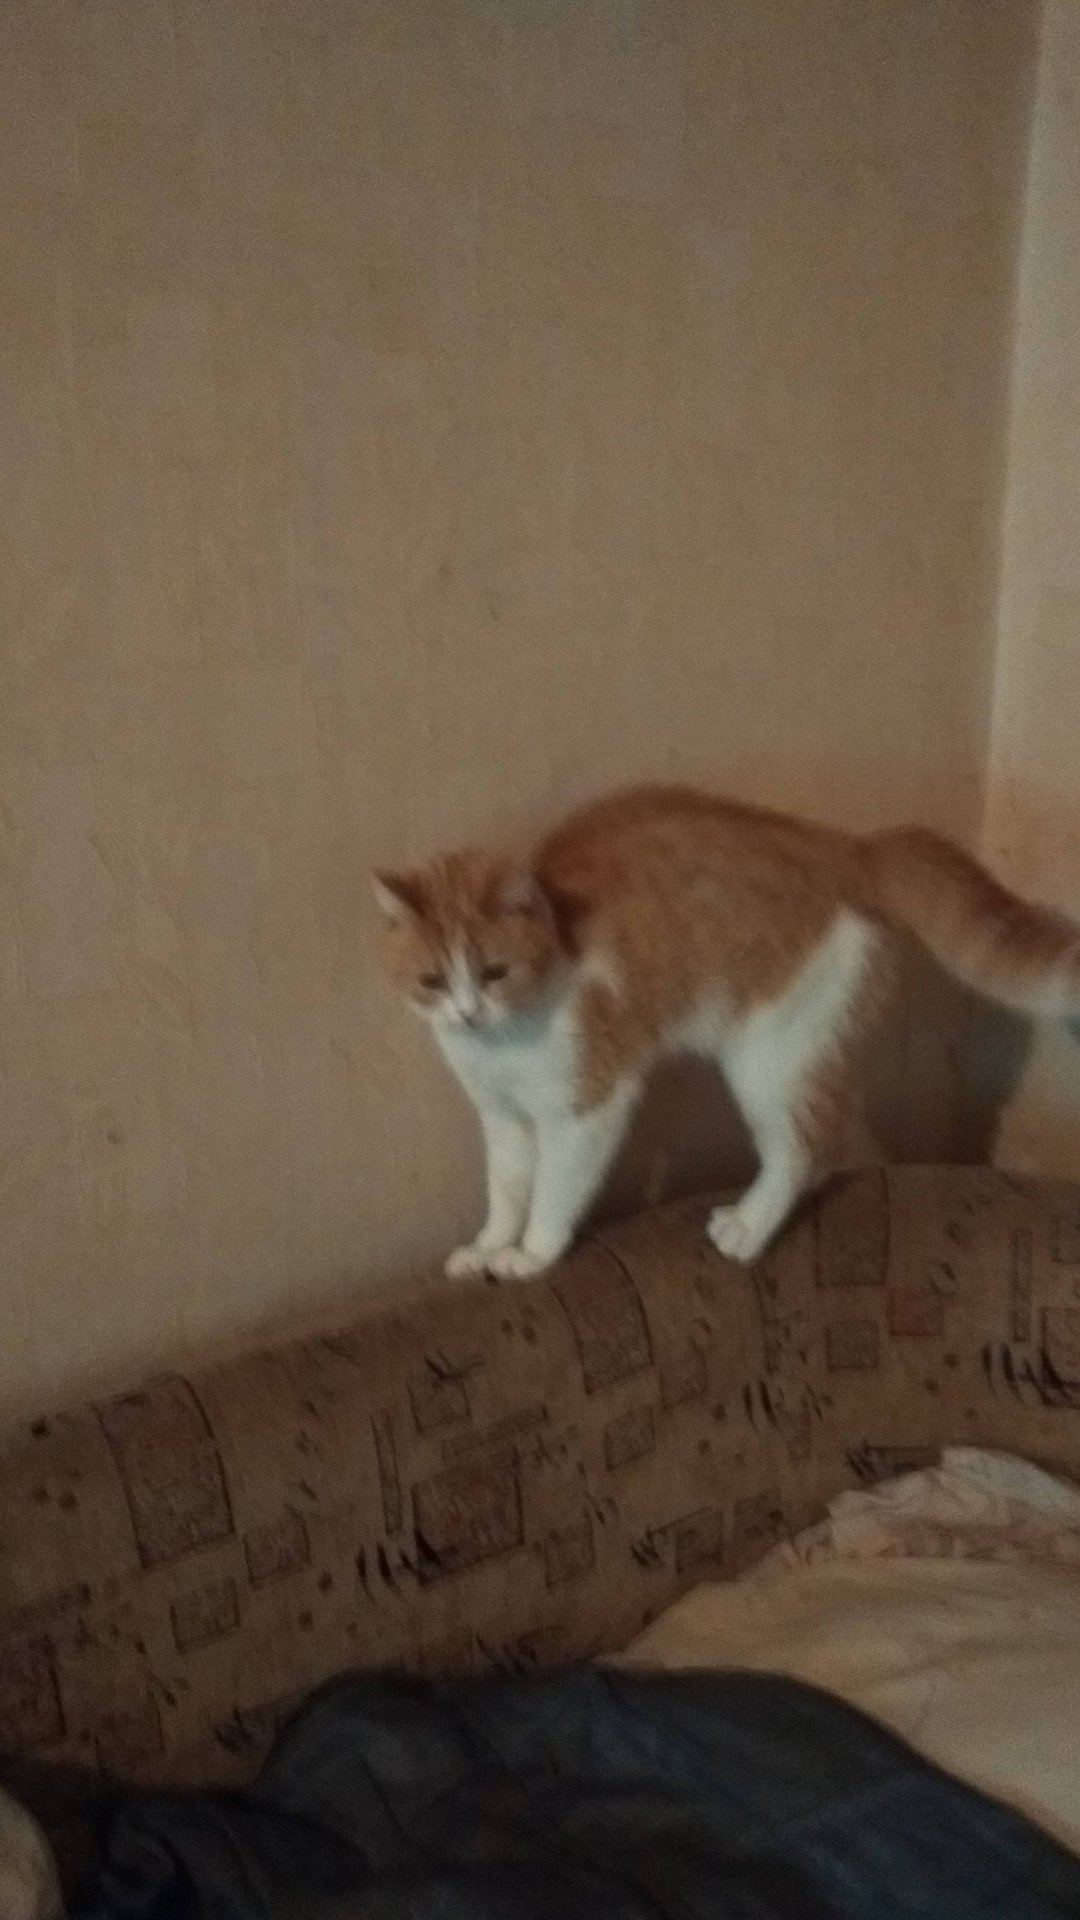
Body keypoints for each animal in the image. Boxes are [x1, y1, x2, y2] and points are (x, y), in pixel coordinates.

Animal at [374, 785, 1079, 1282]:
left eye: (494, 973)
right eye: (433, 980)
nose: (467, 1013)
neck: (503, 1041)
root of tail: (849, 846)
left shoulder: (587, 1106)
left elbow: (554, 1188)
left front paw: (532, 1254)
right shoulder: (504, 1117)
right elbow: (508, 1187)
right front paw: (489, 1246)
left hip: (769, 1058)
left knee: (803, 1148)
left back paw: (748, 1225)